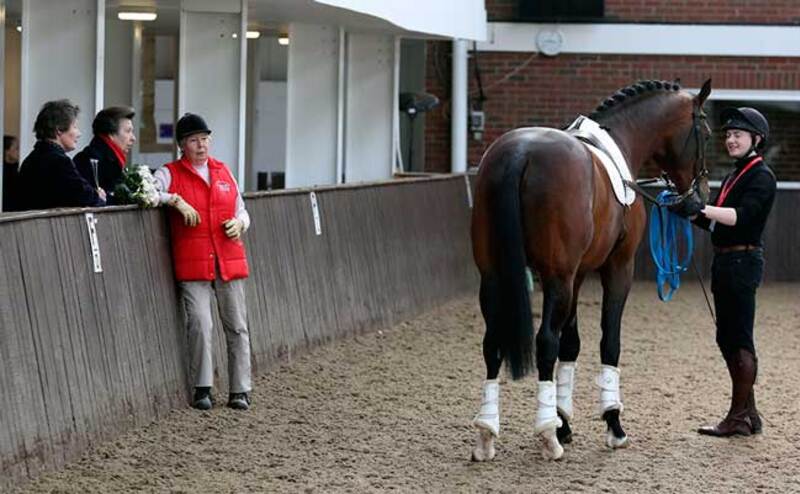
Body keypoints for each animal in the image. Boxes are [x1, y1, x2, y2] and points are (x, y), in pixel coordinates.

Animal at [472, 79, 708, 462]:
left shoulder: (578, 274)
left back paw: (486, 435)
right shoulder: (617, 268)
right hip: (556, 278)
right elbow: (608, 341)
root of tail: (521, 153)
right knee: (545, 342)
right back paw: (547, 439)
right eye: (706, 130)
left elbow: (572, 344)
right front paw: (612, 425)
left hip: (493, 277)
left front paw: (564, 423)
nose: (699, 197)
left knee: (493, 344)